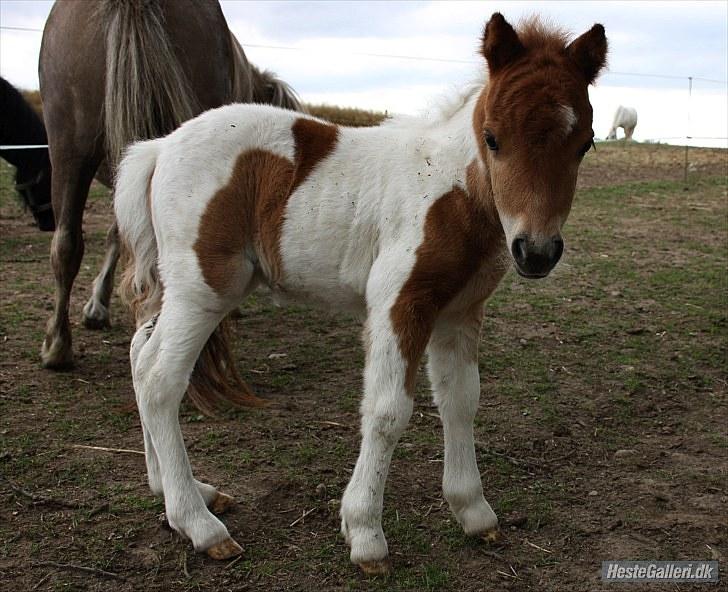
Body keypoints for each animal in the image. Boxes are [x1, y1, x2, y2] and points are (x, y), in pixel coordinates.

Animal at [116, 12, 604, 572]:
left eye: (585, 143)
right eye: (492, 137)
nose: (536, 251)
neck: (452, 191)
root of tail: (158, 147)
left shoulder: (460, 312)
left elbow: (461, 400)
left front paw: (474, 511)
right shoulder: (400, 302)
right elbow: (389, 410)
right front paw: (366, 531)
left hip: (176, 290)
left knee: (139, 357)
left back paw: (178, 489)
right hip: (204, 290)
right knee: (160, 380)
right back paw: (198, 524)